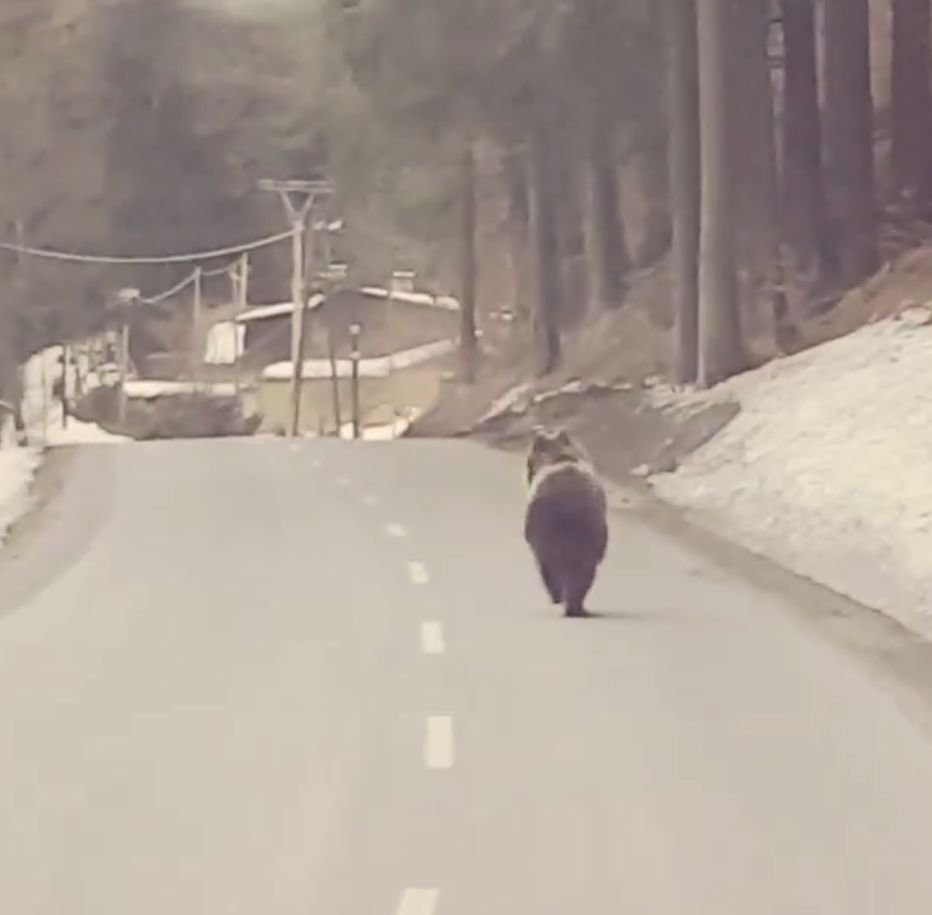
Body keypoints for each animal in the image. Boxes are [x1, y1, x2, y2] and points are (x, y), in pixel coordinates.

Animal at [520, 428, 608, 616]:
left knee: (549, 567)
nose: (528, 475)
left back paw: (562, 599)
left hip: (548, 528)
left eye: (529, 462)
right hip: (587, 534)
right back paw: (574, 604)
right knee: (584, 570)